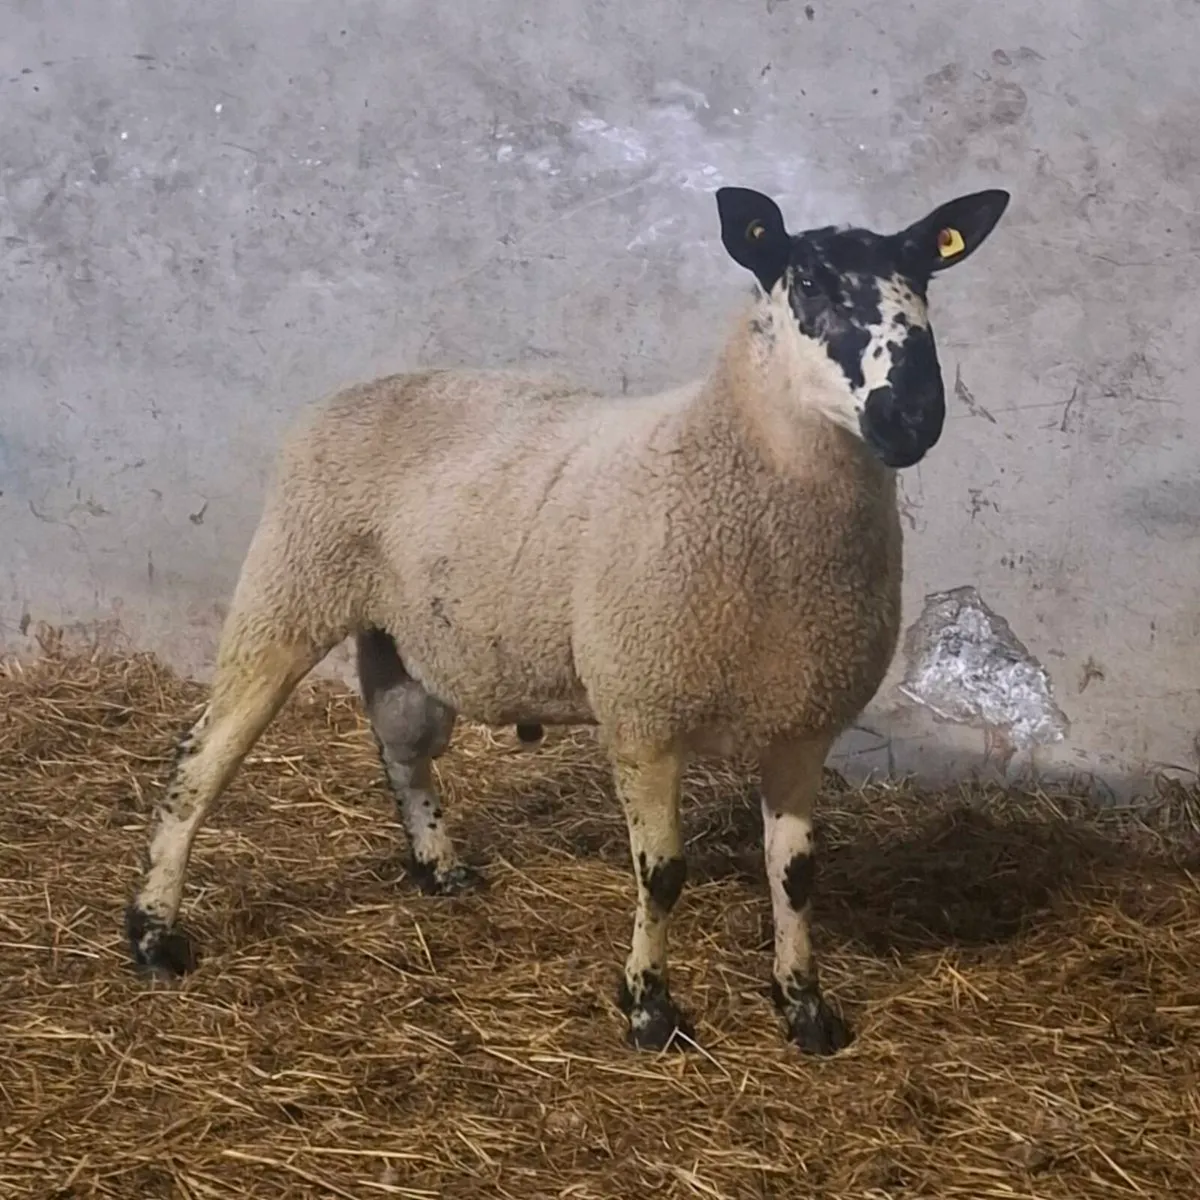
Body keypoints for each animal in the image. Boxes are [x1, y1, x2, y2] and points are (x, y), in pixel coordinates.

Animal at [125, 182, 1010, 1055]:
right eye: (814, 284)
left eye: (925, 281)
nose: (914, 416)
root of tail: (353, 391)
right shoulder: (643, 709)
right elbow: (663, 872)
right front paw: (649, 1010)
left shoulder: (803, 719)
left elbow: (795, 878)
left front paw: (806, 1010)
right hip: (288, 585)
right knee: (202, 757)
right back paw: (153, 932)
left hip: (404, 639)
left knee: (402, 750)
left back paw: (438, 867)